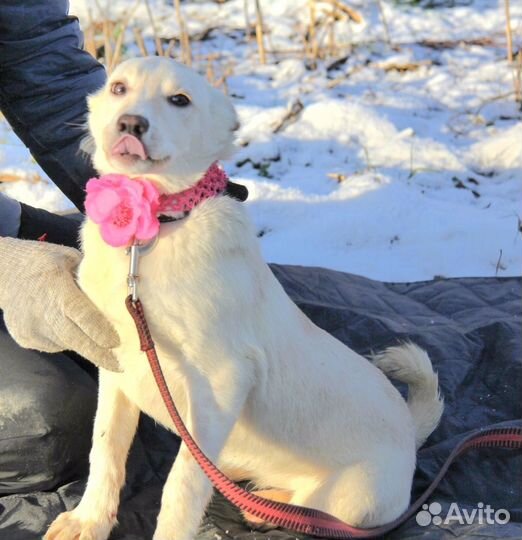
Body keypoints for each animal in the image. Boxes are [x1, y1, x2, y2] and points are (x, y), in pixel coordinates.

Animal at [45, 58, 442, 540]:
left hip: (351, 497)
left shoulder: (222, 381)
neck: (151, 235)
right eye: (119, 87)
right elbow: (105, 449)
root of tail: (410, 434)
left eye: (180, 100)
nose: (131, 123)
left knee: (313, 510)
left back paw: (270, 507)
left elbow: (180, 486)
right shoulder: (117, 366)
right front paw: (88, 521)